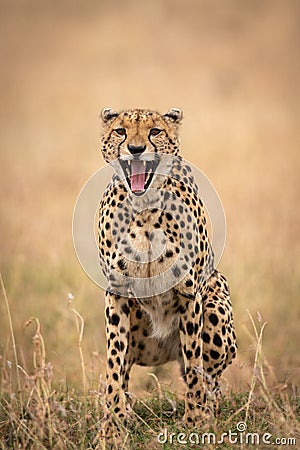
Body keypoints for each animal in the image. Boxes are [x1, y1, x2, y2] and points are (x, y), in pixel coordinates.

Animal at [97, 107, 236, 434]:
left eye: (155, 131)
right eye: (120, 131)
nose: (136, 149)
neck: (145, 206)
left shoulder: (189, 292)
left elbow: (195, 364)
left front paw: (196, 420)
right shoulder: (116, 293)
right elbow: (114, 361)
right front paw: (113, 424)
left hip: (215, 303)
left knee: (211, 379)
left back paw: (208, 410)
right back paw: (127, 410)